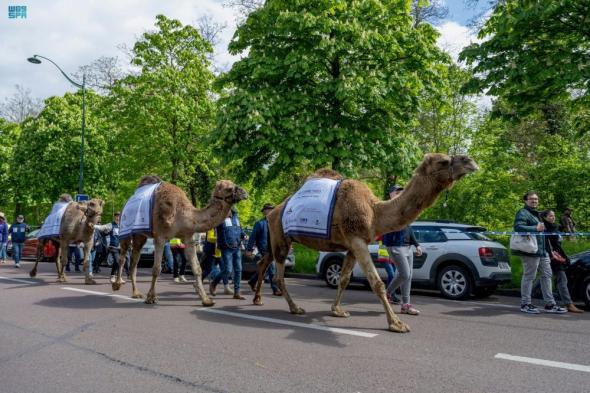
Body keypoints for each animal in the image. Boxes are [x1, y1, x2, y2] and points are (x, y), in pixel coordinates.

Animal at [112, 175, 249, 306]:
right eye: (229, 188)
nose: (245, 193)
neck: (183, 214)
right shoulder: (160, 237)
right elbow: (156, 269)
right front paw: (151, 298)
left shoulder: (188, 237)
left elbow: (197, 268)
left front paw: (206, 300)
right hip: (125, 230)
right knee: (122, 257)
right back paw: (117, 285)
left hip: (140, 235)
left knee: (134, 260)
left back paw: (136, 293)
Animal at [252, 152, 478, 330]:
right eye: (443, 161)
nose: (471, 161)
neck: (375, 211)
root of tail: (272, 213)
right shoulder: (358, 240)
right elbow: (376, 282)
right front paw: (396, 324)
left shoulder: (352, 245)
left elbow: (344, 279)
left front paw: (337, 310)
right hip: (281, 236)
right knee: (278, 274)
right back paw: (295, 307)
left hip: (275, 238)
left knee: (263, 262)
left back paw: (257, 299)